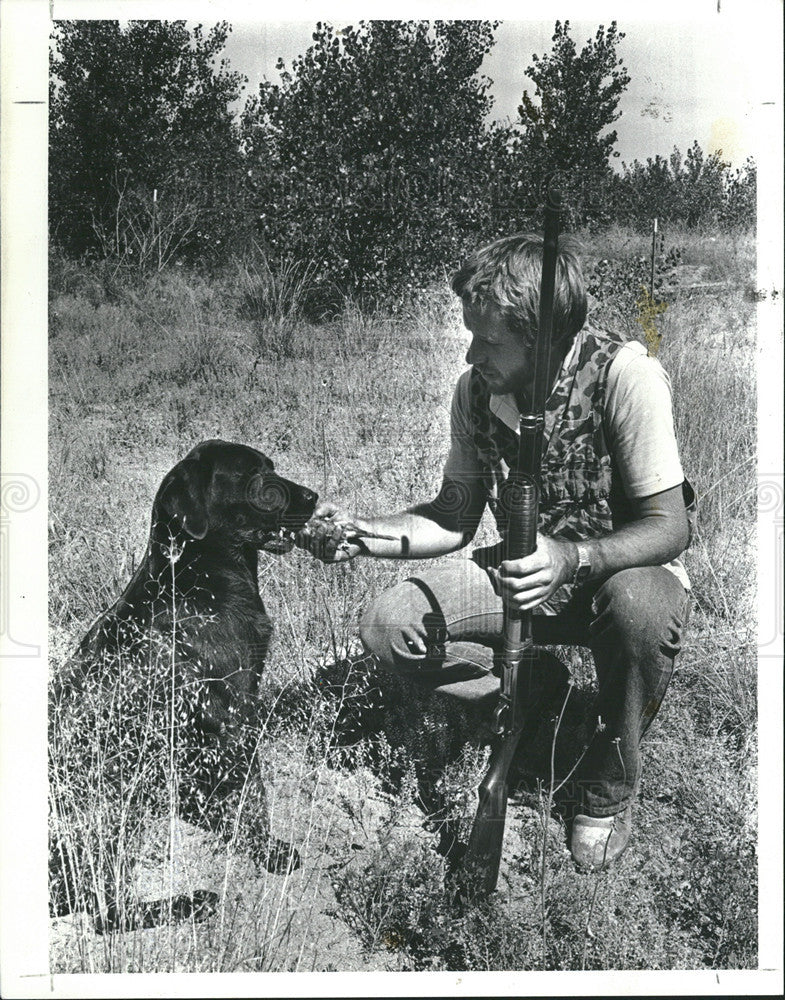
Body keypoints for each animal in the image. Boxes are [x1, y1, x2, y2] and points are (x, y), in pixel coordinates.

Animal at [49, 442, 316, 924]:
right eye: (254, 474)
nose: (313, 497)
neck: (195, 578)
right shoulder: (232, 718)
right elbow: (253, 797)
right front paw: (269, 851)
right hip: (114, 808)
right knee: (107, 911)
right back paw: (194, 902)